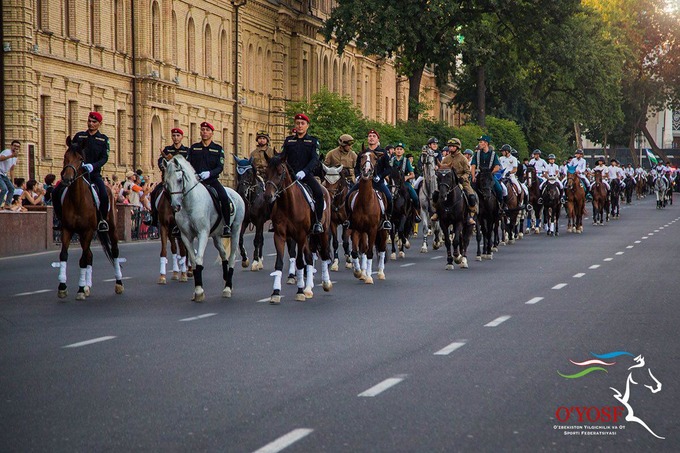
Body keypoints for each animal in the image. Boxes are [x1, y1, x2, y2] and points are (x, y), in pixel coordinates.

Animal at [55, 138, 123, 300]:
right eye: (65, 156)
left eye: (81, 159)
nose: (67, 179)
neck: (77, 199)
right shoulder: (67, 230)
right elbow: (64, 255)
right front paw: (63, 287)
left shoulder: (87, 231)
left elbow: (83, 260)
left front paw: (80, 290)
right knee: (90, 255)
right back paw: (87, 286)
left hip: (111, 229)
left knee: (114, 252)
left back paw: (118, 283)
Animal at [163, 154, 246, 300]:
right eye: (166, 183)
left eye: (179, 180)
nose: (175, 206)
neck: (190, 203)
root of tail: (235, 192)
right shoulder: (186, 236)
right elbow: (193, 261)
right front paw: (197, 289)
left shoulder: (202, 233)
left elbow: (199, 258)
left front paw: (199, 291)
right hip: (216, 236)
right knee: (223, 254)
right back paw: (226, 279)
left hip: (236, 231)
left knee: (231, 257)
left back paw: (228, 287)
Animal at [262, 154, 332, 304]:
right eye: (266, 172)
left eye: (280, 173)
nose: (268, 196)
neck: (288, 204)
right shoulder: (280, 235)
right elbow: (279, 263)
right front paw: (275, 293)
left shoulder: (300, 236)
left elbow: (300, 262)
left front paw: (299, 291)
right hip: (307, 238)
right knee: (310, 258)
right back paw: (308, 288)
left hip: (322, 233)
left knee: (324, 255)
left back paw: (326, 283)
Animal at [348, 150, 386, 280]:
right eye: (361, 157)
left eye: (375, 158)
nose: (367, 170)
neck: (366, 202)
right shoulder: (355, 228)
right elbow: (355, 252)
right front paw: (358, 272)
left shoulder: (373, 229)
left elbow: (370, 252)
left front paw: (369, 277)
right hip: (363, 231)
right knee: (363, 248)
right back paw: (363, 272)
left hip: (383, 230)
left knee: (382, 249)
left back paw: (380, 272)